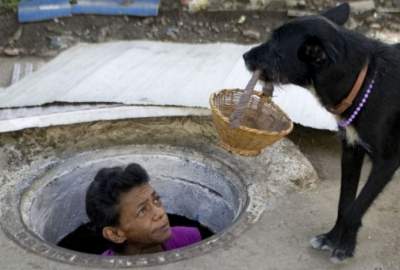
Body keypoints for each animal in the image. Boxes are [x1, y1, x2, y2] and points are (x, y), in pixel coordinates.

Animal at [242, 2, 400, 264]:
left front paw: (344, 246)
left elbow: (356, 207)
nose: (244, 56)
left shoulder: (386, 162)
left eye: (276, 50)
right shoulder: (351, 150)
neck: (366, 81)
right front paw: (332, 238)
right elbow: (344, 203)